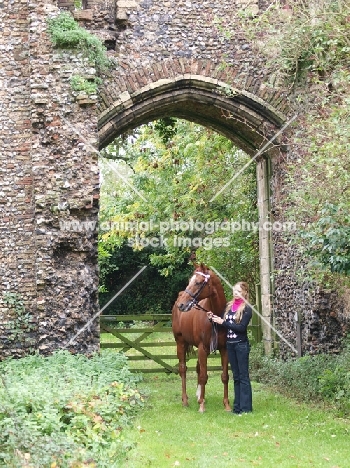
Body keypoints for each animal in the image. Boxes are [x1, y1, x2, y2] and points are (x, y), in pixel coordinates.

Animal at [172, 264, 231, 414]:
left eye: (198, 282)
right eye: (189, 281)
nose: (182, 305)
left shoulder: (224, 349)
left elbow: (225, 376)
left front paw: (227, 405)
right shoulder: (203, 349)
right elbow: (204, 376)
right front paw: (202, 406)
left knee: (198, 368)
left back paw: (199, 396)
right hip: (180, 343)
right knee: (183, 369)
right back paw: (185, 400)